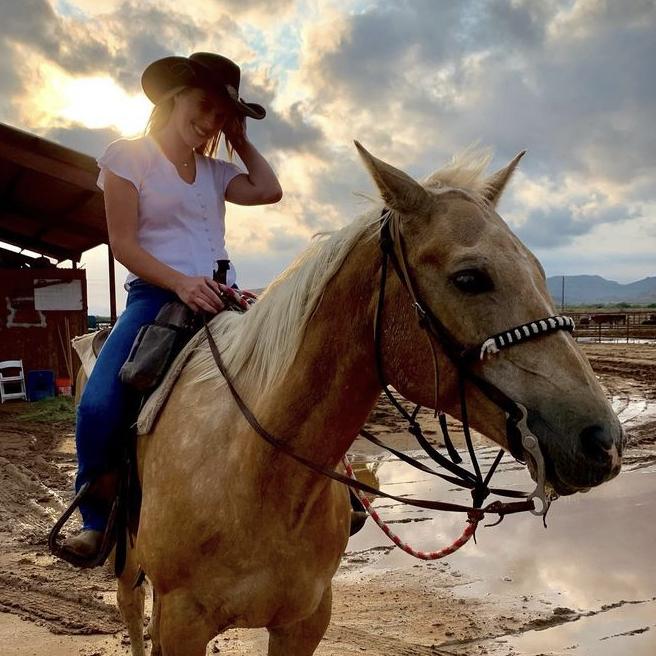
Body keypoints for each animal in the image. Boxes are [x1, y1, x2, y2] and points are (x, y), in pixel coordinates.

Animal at [94, 142, 622, 655]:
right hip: (129, 565)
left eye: (539, 272)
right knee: (130, 610)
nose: (604, 441)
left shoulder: (304, 622)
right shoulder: (181, 623)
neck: (255, 469)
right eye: (470, 278)